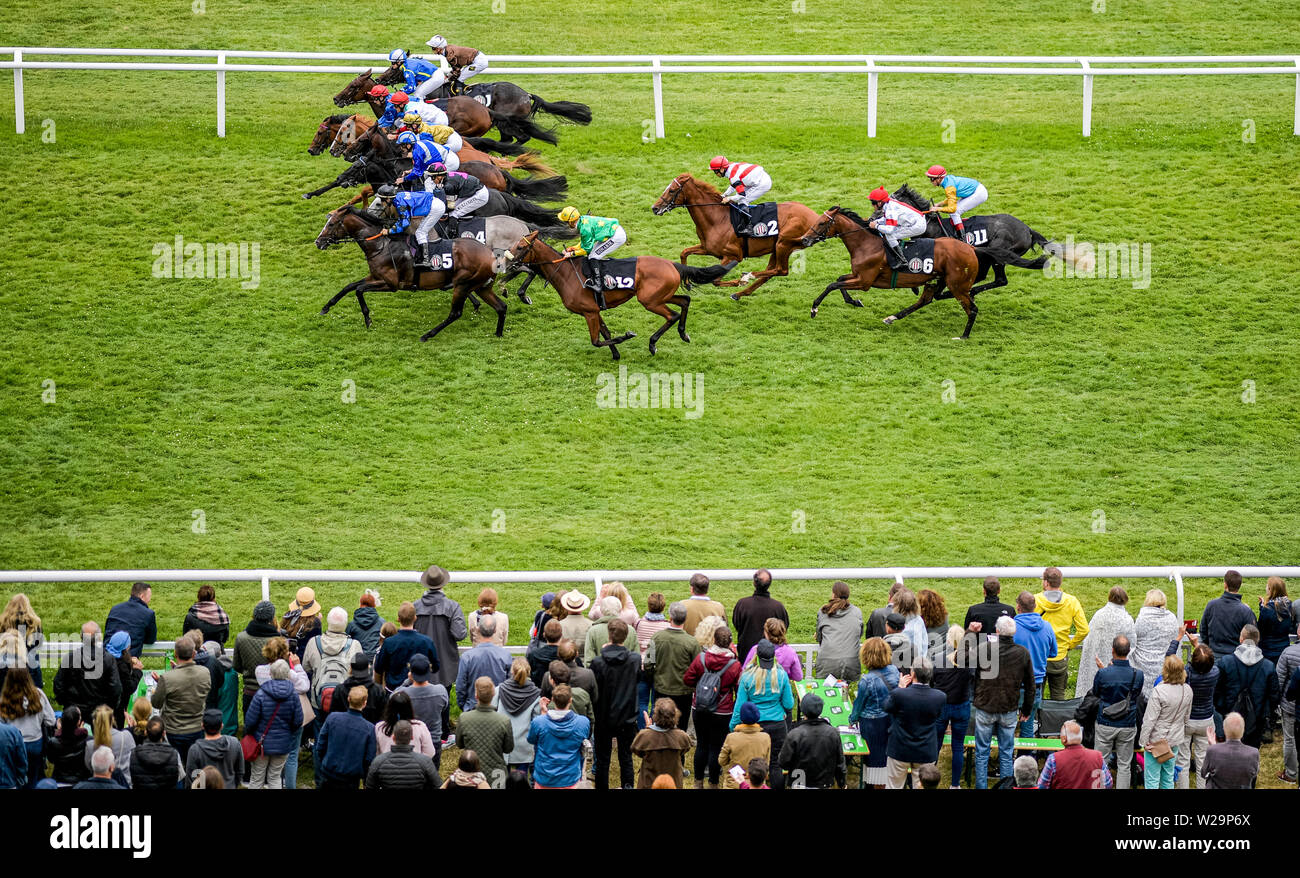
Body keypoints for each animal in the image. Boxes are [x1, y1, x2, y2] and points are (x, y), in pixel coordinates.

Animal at [314, 208, 506, 340]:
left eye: (331, 224)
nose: (318, 242)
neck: (381, 245)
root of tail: (491, 254)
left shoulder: (391, 284)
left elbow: (359, 290)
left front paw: (368, 319)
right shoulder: (375, 277)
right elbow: (349, 286)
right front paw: (325, 307)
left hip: (463, 285)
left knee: (455, 313)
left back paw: (427, 335)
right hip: (481, 286)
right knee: (501, 307)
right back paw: (498, 333)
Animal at [501, 231, 738, 361]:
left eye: (520, 246)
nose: (505, 262)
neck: (566, 273)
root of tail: (672, 264)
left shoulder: (589, 312)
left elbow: (596, 341)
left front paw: (627, 336)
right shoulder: (594, 311)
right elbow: (605, 334)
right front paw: (616, 354)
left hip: (649, 300)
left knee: (672, 315)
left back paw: (653, 344)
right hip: (660, 296)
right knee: (685, 301)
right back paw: (683, 334)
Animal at [650, 172, 811, 300]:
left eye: (671, 190)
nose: (654, 208)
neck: (717, 219)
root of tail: (812, 215)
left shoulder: (733, 256)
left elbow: (715, 281)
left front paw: (739, 281)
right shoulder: (707, 248)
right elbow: (684, 252)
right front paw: (688, 283)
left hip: (784, 245)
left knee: (781, 270)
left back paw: (746, 278)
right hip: (777, 249)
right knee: (772, 272)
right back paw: (740, 293)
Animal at [795, 208, 977, 340]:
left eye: (822, 223)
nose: (804, 239)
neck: (866, 245)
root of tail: (970, 249)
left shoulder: (864, 282)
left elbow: (832, 285)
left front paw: (814, 309)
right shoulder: (858, 275)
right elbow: (838, 280)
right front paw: (854, 301)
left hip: (957, 286)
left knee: (972, 309)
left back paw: (964, 336)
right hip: (935, 281)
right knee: (925, 300)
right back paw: (892, 318)